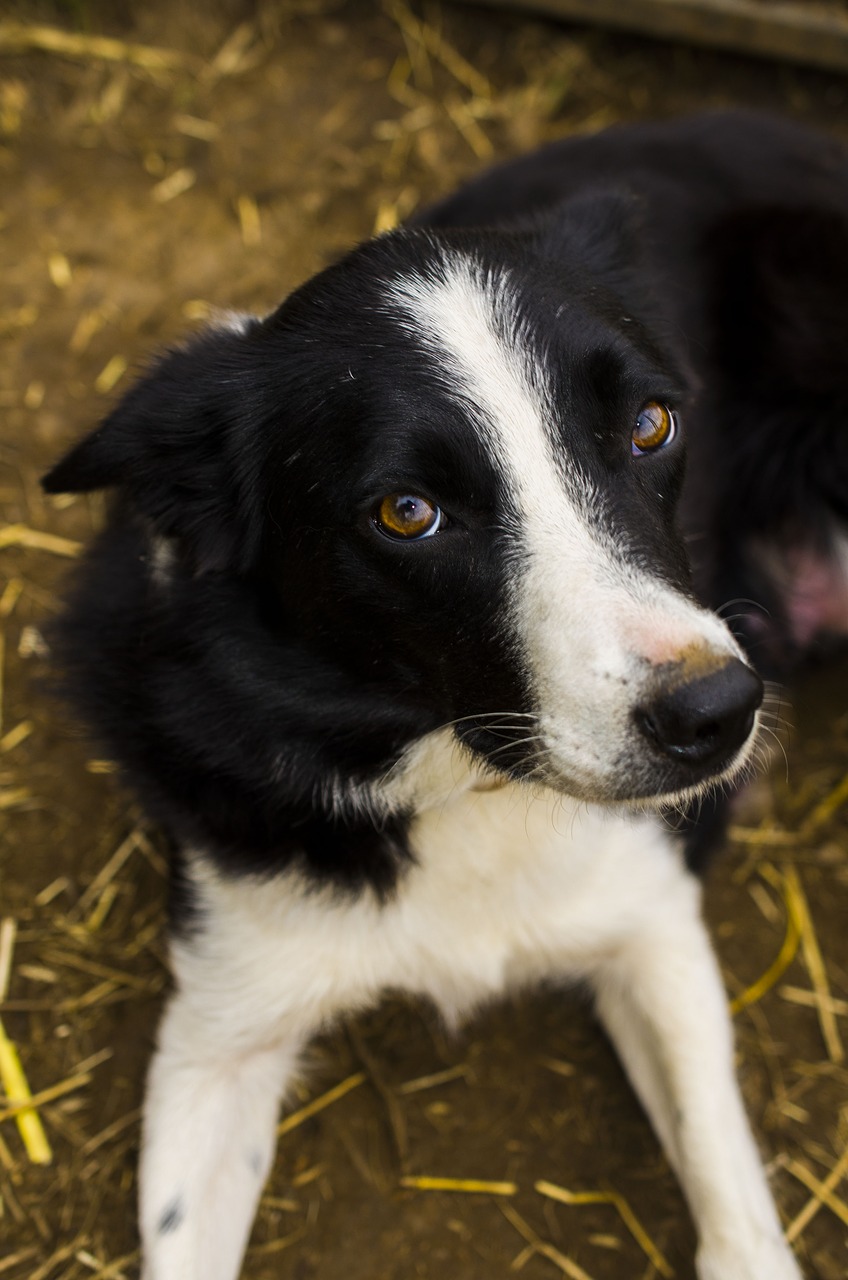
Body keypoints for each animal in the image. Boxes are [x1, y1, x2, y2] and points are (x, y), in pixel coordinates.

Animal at [41, 112, 848, 1280]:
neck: (464, 778)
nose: (716, 717)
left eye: (650, 423)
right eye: (407, 511)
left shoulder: (650, 920)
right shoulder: (218, 1025)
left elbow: (733, 1208)